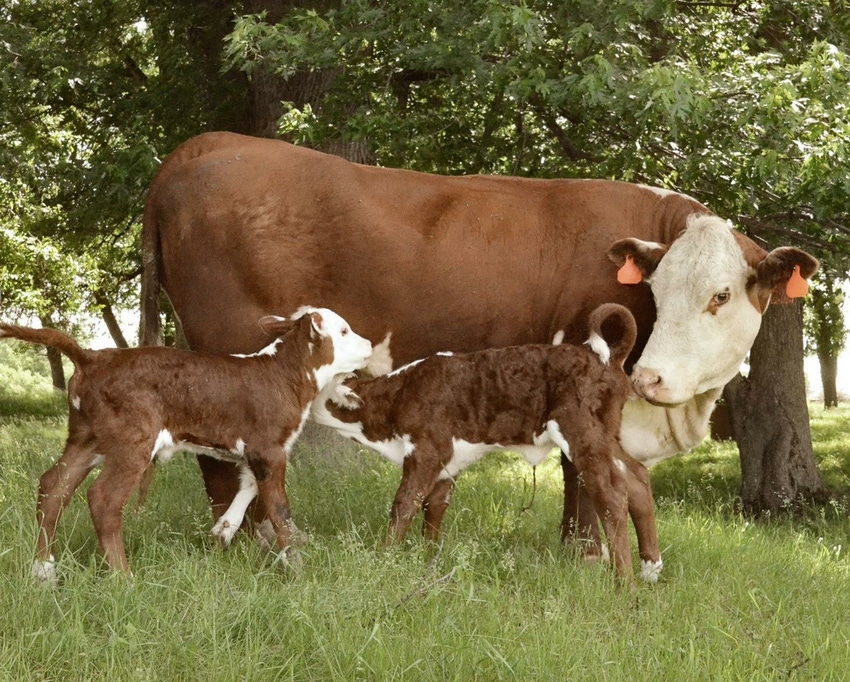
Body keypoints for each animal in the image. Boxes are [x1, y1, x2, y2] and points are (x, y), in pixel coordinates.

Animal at [0, 308, 372, 580]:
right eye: (343, 332)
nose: (369, 344)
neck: (285, 374)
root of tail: (93, 357)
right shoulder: (270, 446)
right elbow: (279, 509)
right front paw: (297, 567)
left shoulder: (259, 449)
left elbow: (249, 485)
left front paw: (223, 531)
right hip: (133, 439)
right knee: (103, 498)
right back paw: (124, 578)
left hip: (87, 437)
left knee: (54, 487)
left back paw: (43, 571)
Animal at [312, 302, 664, 580]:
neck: (397, 396)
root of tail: (603, 359)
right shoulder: (447, 460)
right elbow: (434, 506)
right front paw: (429, 559)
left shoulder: (427, 449)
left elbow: (405, 503)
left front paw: (384, 559)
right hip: (607, 434)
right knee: (636, 478)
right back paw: (650, 570)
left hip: (581, 432)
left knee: (612, 495)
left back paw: (624, 583)